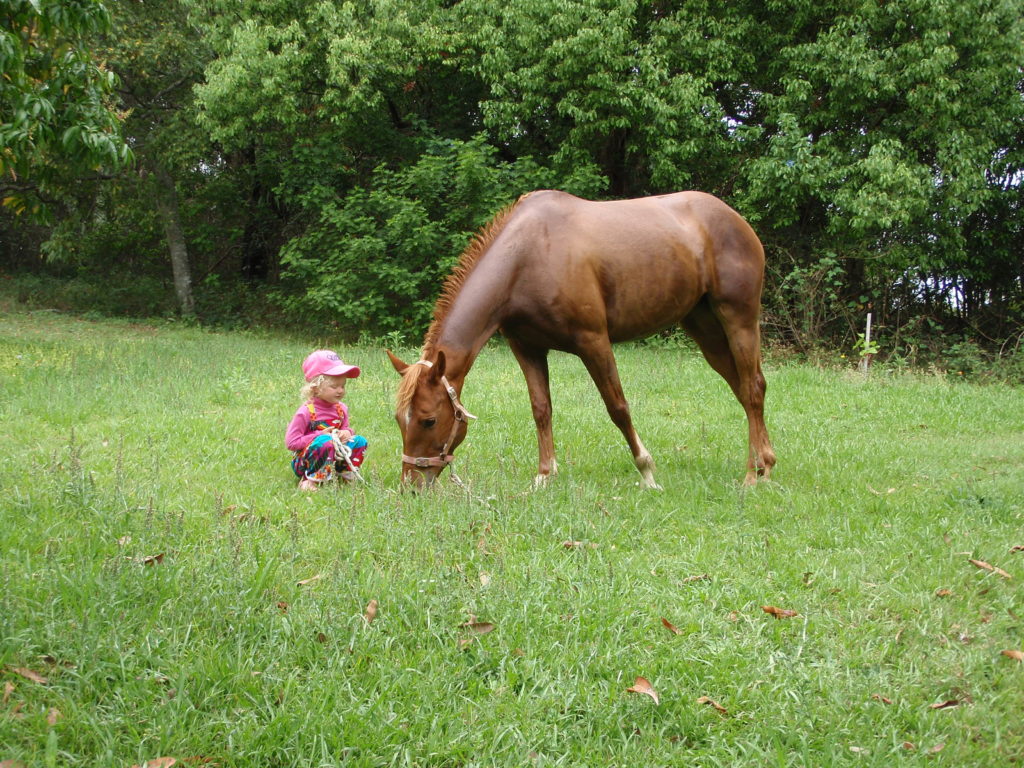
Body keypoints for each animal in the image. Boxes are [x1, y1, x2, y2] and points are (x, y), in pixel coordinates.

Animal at [389, 190, 774, 489]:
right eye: (398, 419)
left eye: (428, 420)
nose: (411, 485)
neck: (528, 256)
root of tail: (735, 219)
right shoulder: (527, 348)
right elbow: (541, 409)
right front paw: (545, 475)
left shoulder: (593, 341)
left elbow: (617, 406)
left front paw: (647, 471)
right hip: (704, 327)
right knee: (743, 389)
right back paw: (764, 462)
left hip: (738, 319)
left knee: (753, 387)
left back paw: (753, 475)